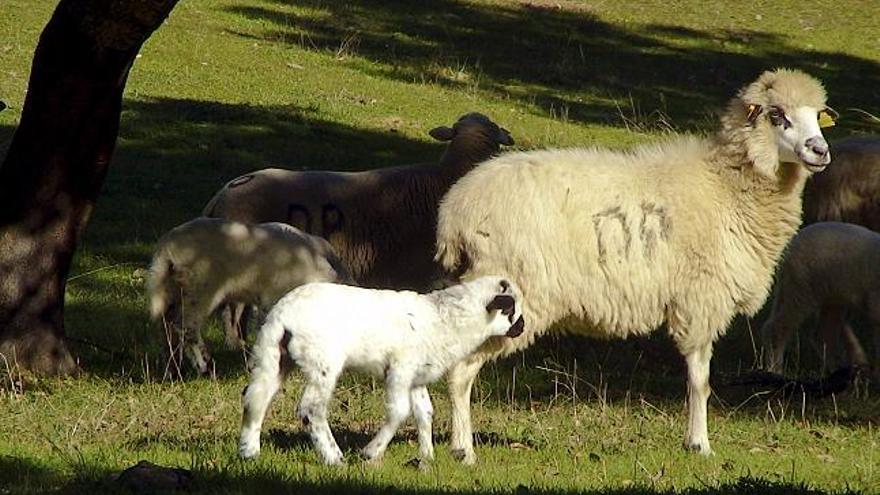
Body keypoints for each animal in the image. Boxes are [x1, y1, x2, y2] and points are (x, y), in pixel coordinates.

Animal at [146, 217, 348, 376]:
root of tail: (167, 246)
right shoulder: (272, 298)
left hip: (172, 287)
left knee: (167, 324)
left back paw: (173, 368)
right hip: (200, 288)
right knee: (185, 326)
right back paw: (203, 364)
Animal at [237, 278, 524, 466]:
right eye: (511, 309)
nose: (522, 327)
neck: (446, 320)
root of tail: (282, 317)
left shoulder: (416, 376)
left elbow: (425, 413)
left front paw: (426, 458)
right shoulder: (400, 369)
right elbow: (399, 412)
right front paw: (371, 453)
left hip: (273, 356)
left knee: (255, 398)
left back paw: (249, 452)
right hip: (323, 361)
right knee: (311, 409)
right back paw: (334, 458)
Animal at [436, 68, 836, 464]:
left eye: (818, 116)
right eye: (777, 115)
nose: (820, 151)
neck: (726, 186)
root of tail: (455, 210)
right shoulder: (701, 299)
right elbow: (700, 380)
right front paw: (699, 444)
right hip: (514, 298)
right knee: (460, 371)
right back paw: (464, 450)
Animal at [764, 223, 880, 382]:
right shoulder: (876, 303)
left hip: (832, 296)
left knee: (823, 335)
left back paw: (839, 371)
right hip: (801, 287)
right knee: (777, 328)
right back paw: (775, 370)